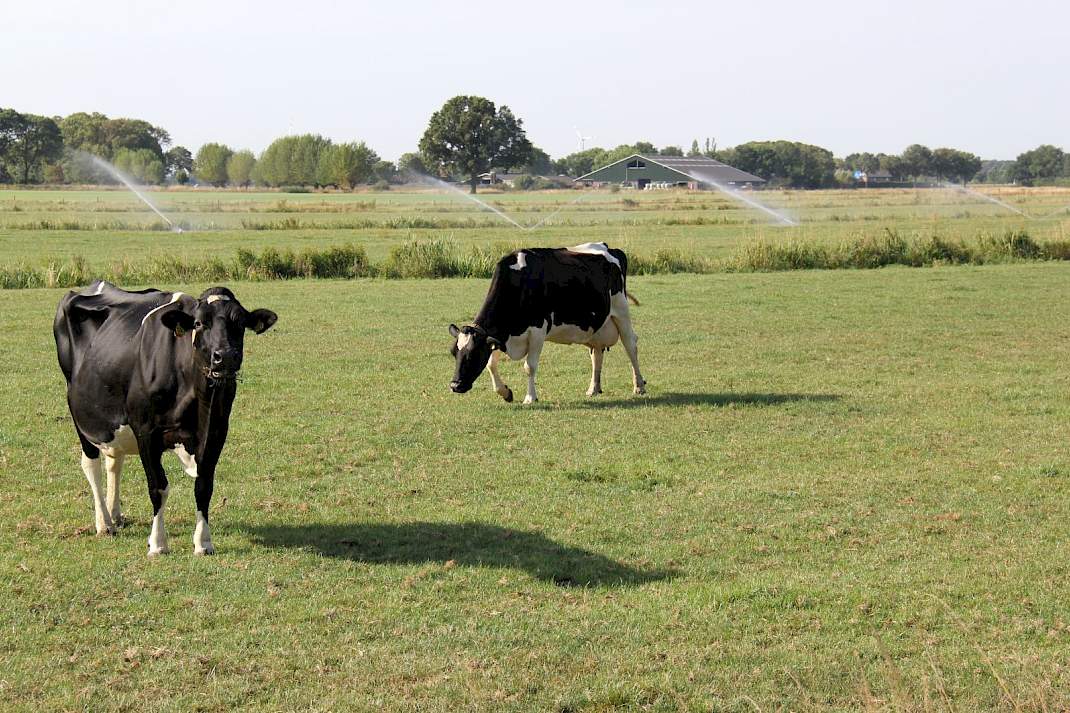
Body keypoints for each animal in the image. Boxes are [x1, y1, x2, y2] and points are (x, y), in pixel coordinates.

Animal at [54, 281, 277, 556]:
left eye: (240, 323)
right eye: (199, 323)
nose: (225, 355)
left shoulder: (217, 431)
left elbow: (204, 485)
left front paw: (203, 542)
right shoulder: (146, 432)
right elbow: (157, 486)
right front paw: (158, 543)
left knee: (114, 461)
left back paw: (115, 515)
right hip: (79, 412)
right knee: (91, 463)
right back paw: (104, 523)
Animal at [448, 242, 646, 404]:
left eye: (472, 354)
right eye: (454, 353)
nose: (455, 386)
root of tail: (610, 248)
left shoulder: (537, 330)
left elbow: (529, 366)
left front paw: (530, 398)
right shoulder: (499, 335)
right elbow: (491, 364)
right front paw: (505, 392)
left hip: (621, 310)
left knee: (630, 345)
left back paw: (639, 385)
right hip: (597, 325)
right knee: (597, 353)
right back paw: (593, 389)